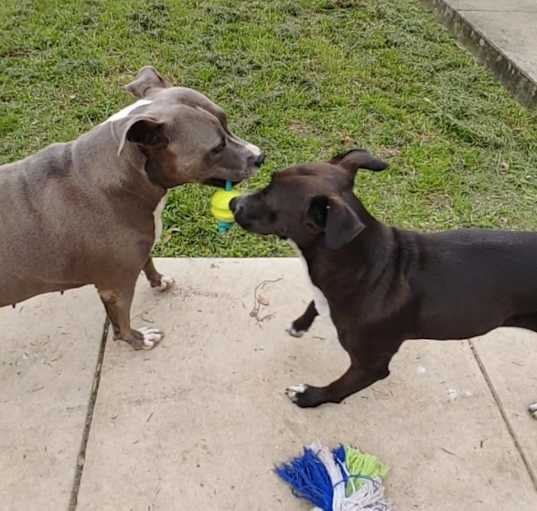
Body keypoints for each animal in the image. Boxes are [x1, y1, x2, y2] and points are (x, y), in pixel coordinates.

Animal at [0, 66, 264, 350]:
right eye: (217, 147)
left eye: (226, 121)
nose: (261, 156)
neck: (126, 174)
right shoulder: (117, 286)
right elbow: (122, 321)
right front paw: (137, 340)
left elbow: (147, 262)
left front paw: (159, 281)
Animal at [230, 149, 536, 416]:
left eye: (270, 196)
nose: (233, 203)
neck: (363, 263)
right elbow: (315, 303)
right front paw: (300, 324)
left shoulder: (370, 365)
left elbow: (339, 387)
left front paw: (310, 396)